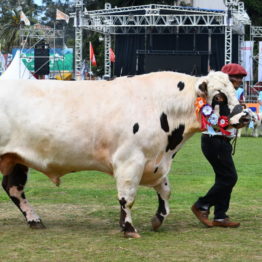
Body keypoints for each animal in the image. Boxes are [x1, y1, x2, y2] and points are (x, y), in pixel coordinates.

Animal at [0, 71, 249, 237]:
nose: (246, 116)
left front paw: (157, 219)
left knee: (13, 188)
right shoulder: (130, 161)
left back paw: (34, 219)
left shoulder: (155, 164)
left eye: (234, 90)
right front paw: (129, 229)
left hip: (17, 158)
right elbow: (127, 198)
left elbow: (166, 192)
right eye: (219, 97)